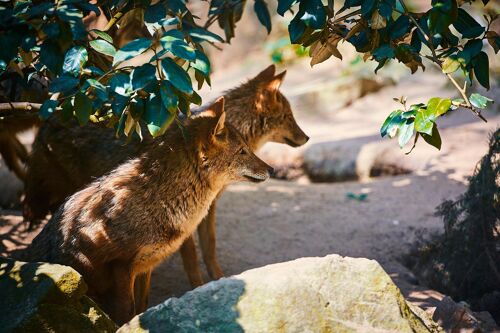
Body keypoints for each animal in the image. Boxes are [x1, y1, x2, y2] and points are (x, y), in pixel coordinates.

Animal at [19, 97, 274, 322]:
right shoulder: (121, 269)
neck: (157, 201)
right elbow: (126, 312)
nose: (271, 169)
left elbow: (142, 307)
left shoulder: (144, 268)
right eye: (242, 151)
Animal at [23, 63, 310, 290]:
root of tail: (47, 119)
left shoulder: (208, 209)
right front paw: (197, 286)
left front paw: (218, 279)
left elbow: (210, 248)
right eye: (288, 117)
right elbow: (192, 257)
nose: (306, 137)